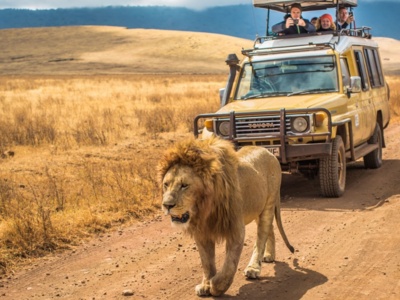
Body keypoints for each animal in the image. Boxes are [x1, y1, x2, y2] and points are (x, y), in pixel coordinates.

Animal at [159, 137, 294, 296]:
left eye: (184, 185)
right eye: (166, 184)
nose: (166, 205)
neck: (204, 209)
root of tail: (267, 151)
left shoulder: (235, 229)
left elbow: (230, 265)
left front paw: (216, 286)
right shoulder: (202, 232)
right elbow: (206, 262)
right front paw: (205, 285)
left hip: (269, 202)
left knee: (261, 236)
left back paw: (254, 268)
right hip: (257, 208)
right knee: (270, 229)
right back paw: (269, 255)